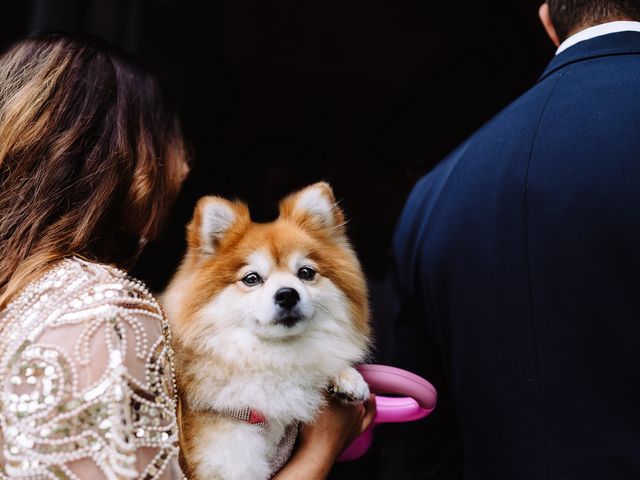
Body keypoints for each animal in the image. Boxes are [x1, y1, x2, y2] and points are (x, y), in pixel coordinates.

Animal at [162, 182, 372, 478]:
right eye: (252, 278)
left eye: (306, 273)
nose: (287, 294)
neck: (271, 359)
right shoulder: (229, 458)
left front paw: (346, 377)